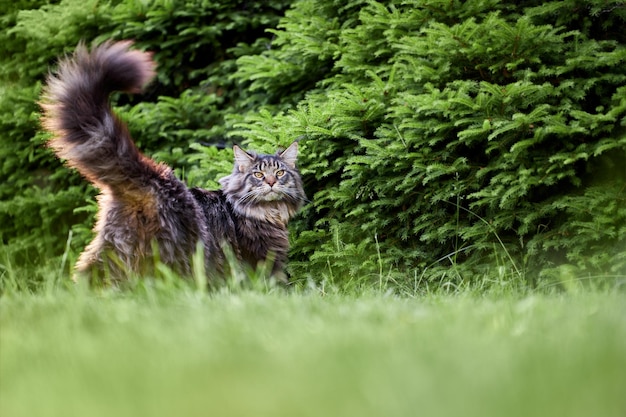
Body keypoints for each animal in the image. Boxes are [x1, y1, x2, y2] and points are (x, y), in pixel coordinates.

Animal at [40, 41, 306, 282]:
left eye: (280, 173)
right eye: (258, 175)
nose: (271, 182)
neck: (268, 213)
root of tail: (152, 177)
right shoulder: (262, 262)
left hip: (116, 249)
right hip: (178, 252)